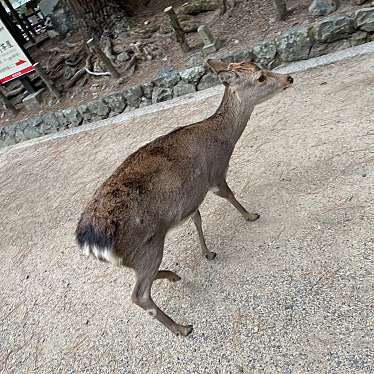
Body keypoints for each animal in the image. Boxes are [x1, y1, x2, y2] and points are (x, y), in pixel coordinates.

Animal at [75, 58, 292, 336]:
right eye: (260, 77)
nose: (288, 78)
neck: (224, 140)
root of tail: (89, 241)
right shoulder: (214, 174)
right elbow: (230, 196)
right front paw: (251, 215)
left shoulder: (190, 197)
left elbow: (197, 219)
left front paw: (208, 253)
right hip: (147, 246)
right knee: (139, 295)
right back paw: (181, 327)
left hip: (134, 256)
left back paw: (173, 276)